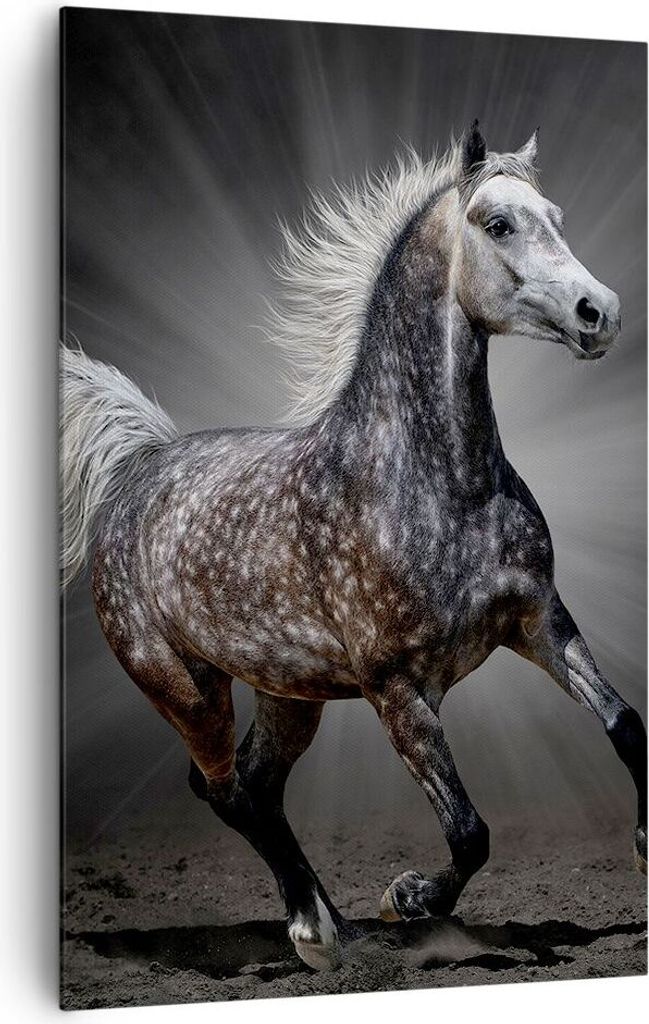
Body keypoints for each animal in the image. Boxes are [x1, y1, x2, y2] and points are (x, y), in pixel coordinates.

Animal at [60, 123, 647, 973]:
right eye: (498, 223)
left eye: (556, 216)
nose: (598, 312)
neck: (437, 482)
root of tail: (139, 469)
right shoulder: (397, 689)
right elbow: (469, 833)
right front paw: (407, 899)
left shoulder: (540, 623)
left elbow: (624, 723)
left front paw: (642, 848)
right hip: (184, 687)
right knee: (225, 789)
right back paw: (317, 931)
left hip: (287, 692)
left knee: (254, 786)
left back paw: (328, 921)